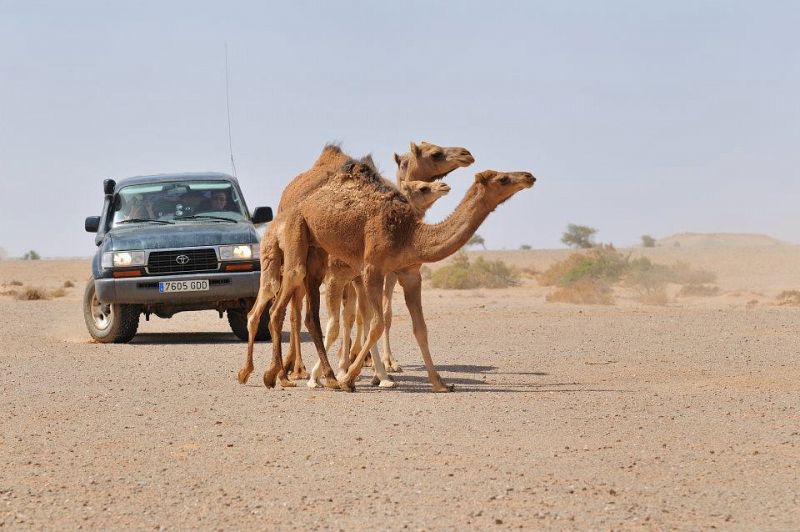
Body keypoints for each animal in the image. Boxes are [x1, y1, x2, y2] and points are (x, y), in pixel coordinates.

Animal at [238, 141, 476, 388]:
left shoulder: (375, 275)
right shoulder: (345, 276)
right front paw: (352, 369)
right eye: (435, 154)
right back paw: (282, 371)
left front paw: (377, 370)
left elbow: (370, 316)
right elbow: (349, 320)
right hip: (286, 266)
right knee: (279, 310)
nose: (465, 154)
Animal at [266, 160, 536, 392]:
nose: (529, 176)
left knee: (311, 315)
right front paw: (349, 378)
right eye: (502, 178)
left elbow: (419, 328)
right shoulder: (371, 268)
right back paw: (281, 376)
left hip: (319, 259)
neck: (410, 235)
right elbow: (375, 324)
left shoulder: (410, 274)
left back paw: (314, 375)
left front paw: (438, 383)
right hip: (299, 235)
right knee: (285, 301)